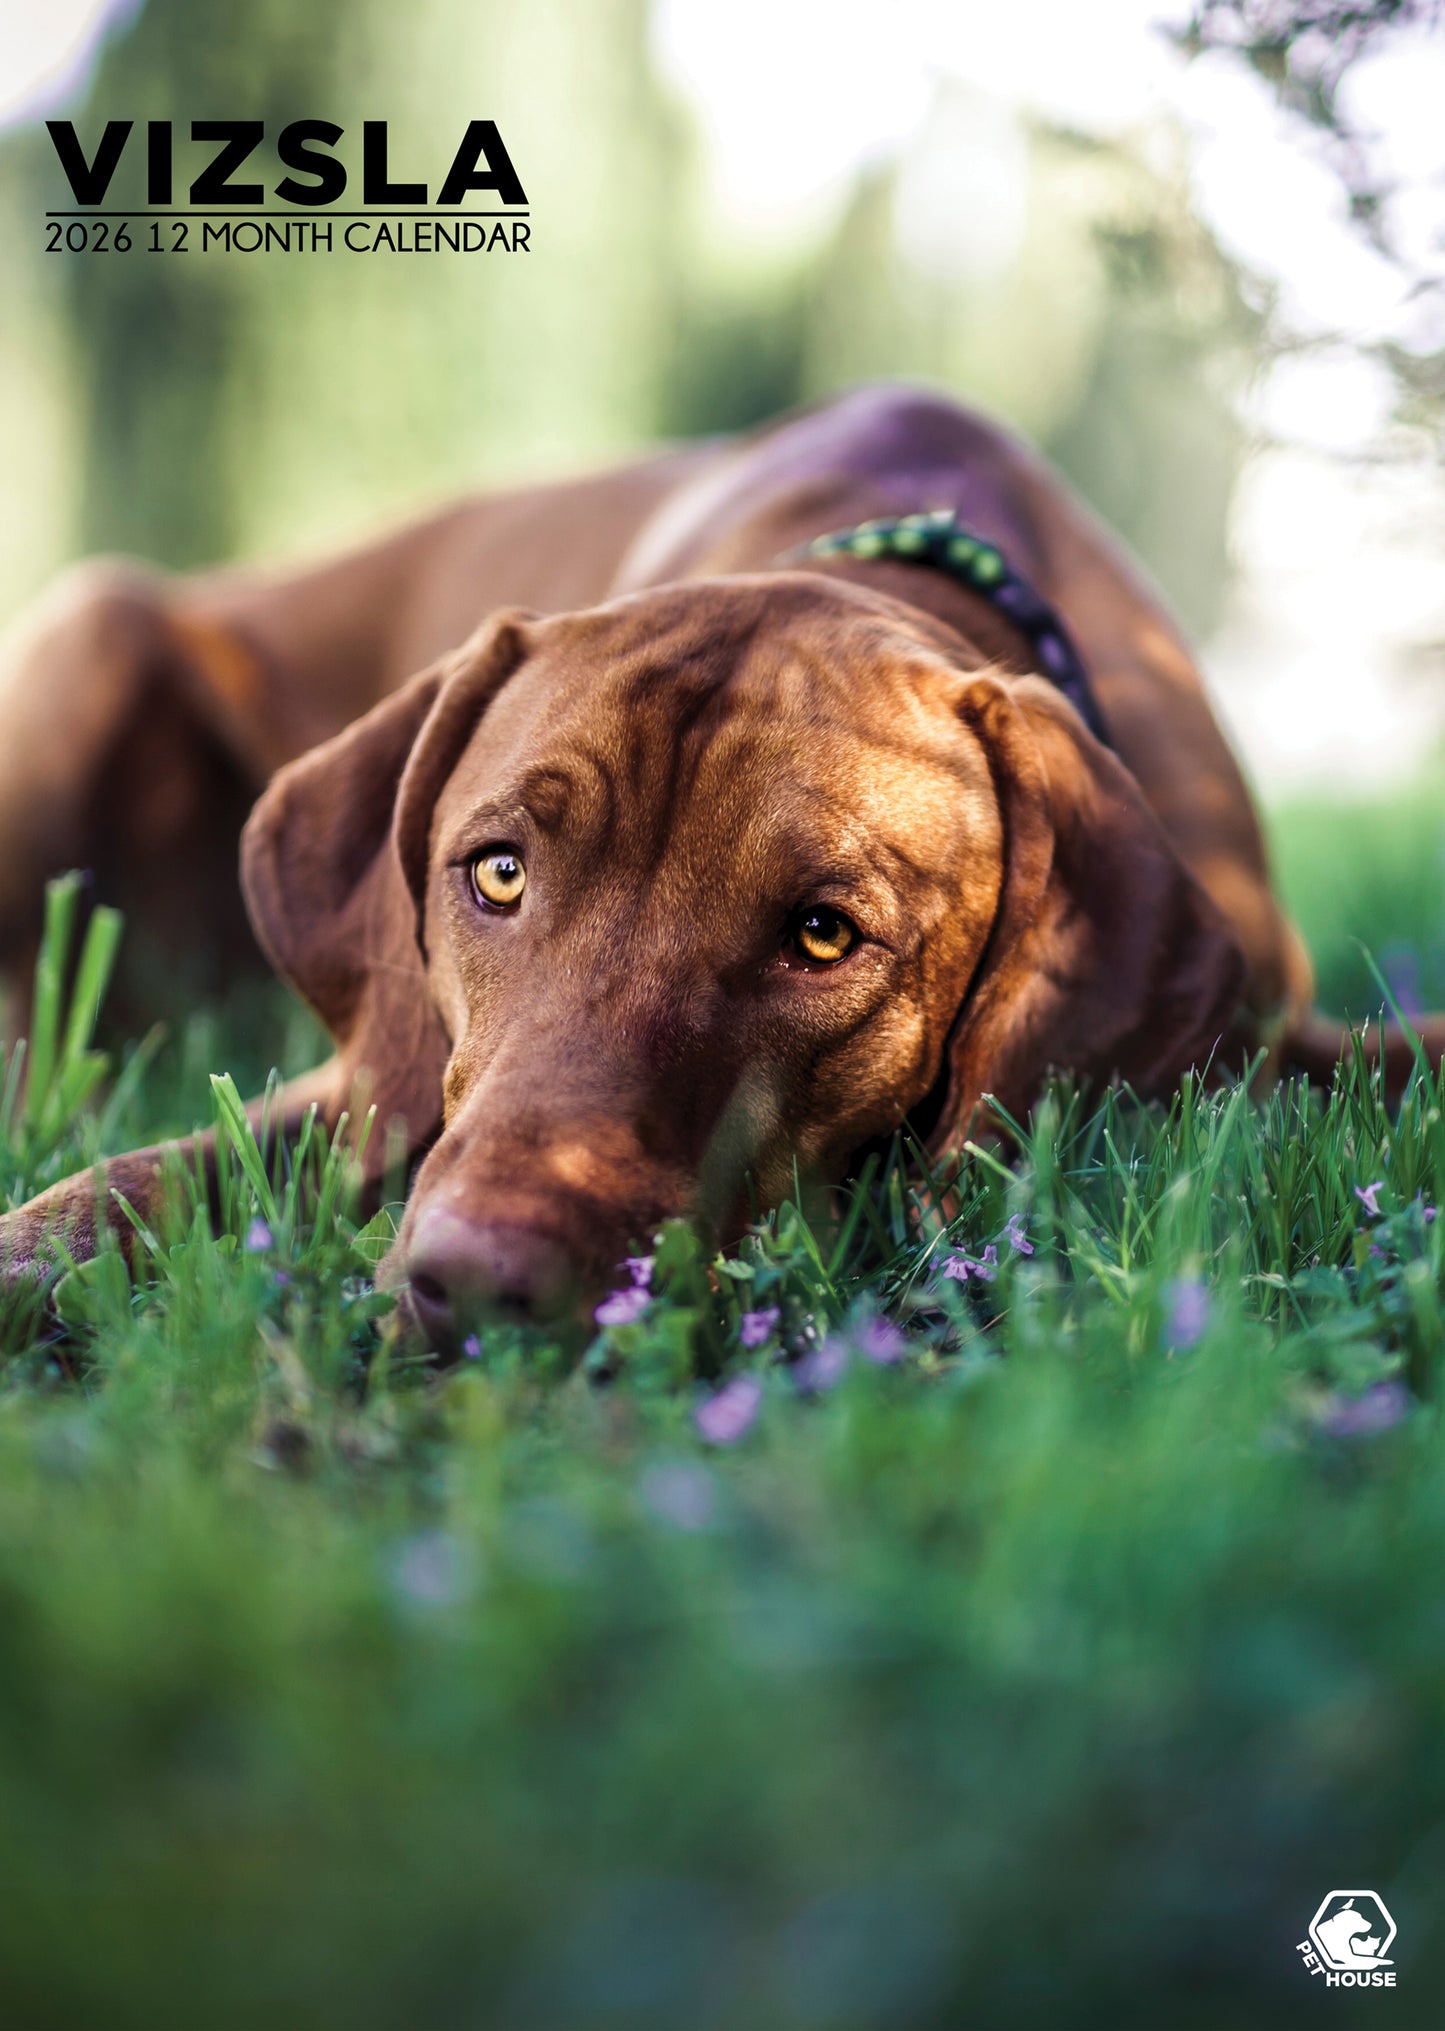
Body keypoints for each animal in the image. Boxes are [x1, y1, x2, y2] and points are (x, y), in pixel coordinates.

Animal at [0, 383, 1422, 1348]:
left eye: (823, 935)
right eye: (497, 874)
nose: (477, 1284)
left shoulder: (1271, 1033)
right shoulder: (374, 1079)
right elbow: (167, 1169)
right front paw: (43, 1253)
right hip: (89, 640)